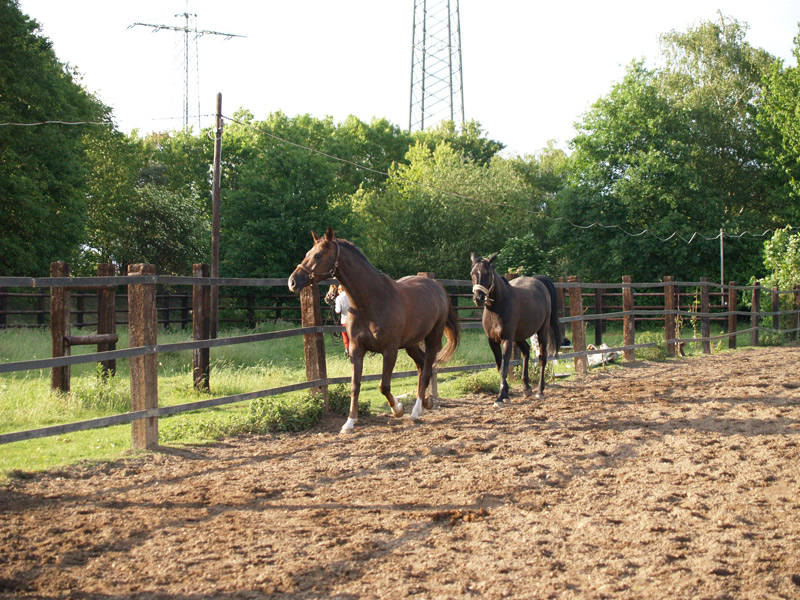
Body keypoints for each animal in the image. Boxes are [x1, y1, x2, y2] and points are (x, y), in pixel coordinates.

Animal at [290, 229, 460, 432]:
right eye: (308, 253)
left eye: (317, 255)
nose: (293, 282)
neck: (370, 301)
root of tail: (438, 288)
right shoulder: (356, 349)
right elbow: (355, 386)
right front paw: (349, 423)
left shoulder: (390, 351)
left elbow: (383, 386)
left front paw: (398, 409)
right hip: (411, 343)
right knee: (421, 366)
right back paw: (426, 403)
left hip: (433, 338)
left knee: (427, 370)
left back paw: (416, 411)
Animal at [468, 253, 564, 408]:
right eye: (472, 274)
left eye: (487, 273)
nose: (478, 298)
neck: (498, 307)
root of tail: (538, 281)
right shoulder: (492, 341)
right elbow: (499, 365)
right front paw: (506, 391)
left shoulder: (507, 339)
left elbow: (504, 367)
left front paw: (501, 397)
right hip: (519, 336)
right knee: (526, 351)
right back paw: (526, 387)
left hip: (541, 332)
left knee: (542, 357)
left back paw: (540, 390)